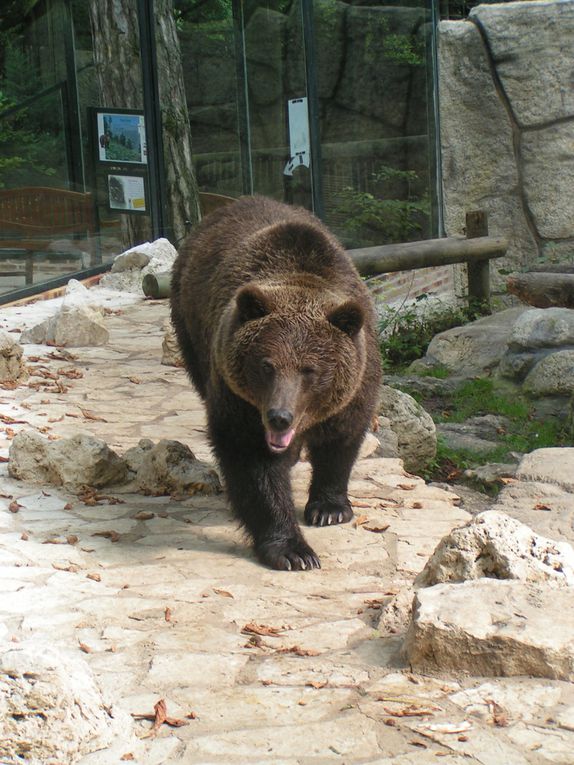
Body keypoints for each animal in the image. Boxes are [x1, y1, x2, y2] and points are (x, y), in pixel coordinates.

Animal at [173, 195, 384, 568]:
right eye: (266, 365)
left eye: (310, 369)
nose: (279, 417)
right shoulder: (237, 399)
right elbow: (253, 462)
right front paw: (293, 551)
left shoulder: (357, 385)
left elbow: (342, 440)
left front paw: (329, 509)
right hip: (190, 326)